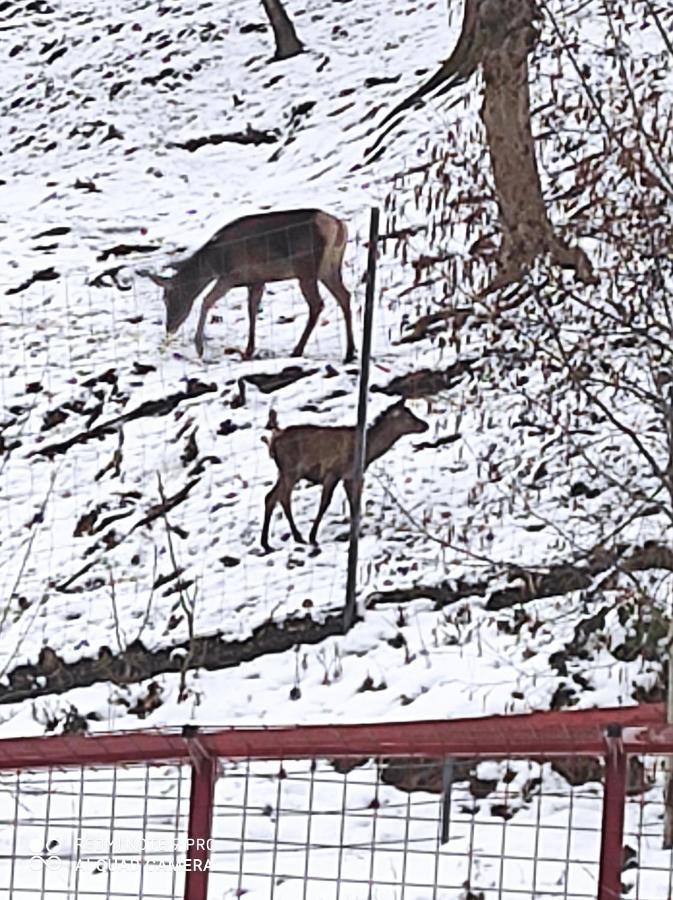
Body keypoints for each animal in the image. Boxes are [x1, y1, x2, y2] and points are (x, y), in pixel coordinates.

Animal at [140, 209, 352, 360]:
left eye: (167, 298)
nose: (169, 327)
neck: (213, 262)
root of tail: (338, 226)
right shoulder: (256, 280)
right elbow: (251, 310)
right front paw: (248, 350)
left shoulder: (230, 277)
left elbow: (207, 301)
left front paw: (199, 347)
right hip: (329, 269)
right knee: (345, 296)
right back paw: (350, 352)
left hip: (306, 269)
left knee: (317, 304)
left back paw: (297, 350)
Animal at [260, 400, 428, 548]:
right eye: (408, 416)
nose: (425, 425)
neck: (367, 452)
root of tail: (274, 438)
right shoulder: (332, 472)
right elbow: (325, 504)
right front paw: (313, 537)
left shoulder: (349, 477)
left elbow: (354, 504)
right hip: (291, 470)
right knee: (283, 498)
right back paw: (298, 536)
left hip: (283, 472)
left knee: (270, 497)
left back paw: (266, 543)